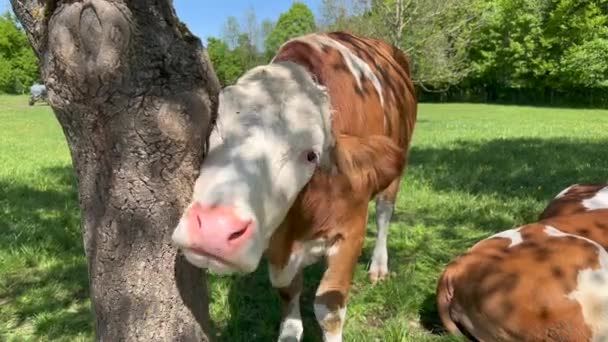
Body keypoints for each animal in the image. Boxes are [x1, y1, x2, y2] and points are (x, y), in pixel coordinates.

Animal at [171, 31, 418, 340]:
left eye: (311, 155)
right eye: (215, 131)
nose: (215, 229)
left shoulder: (351, 232)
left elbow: (329, 309)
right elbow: (289, 299)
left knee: (385, 212)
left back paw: (379, 265)